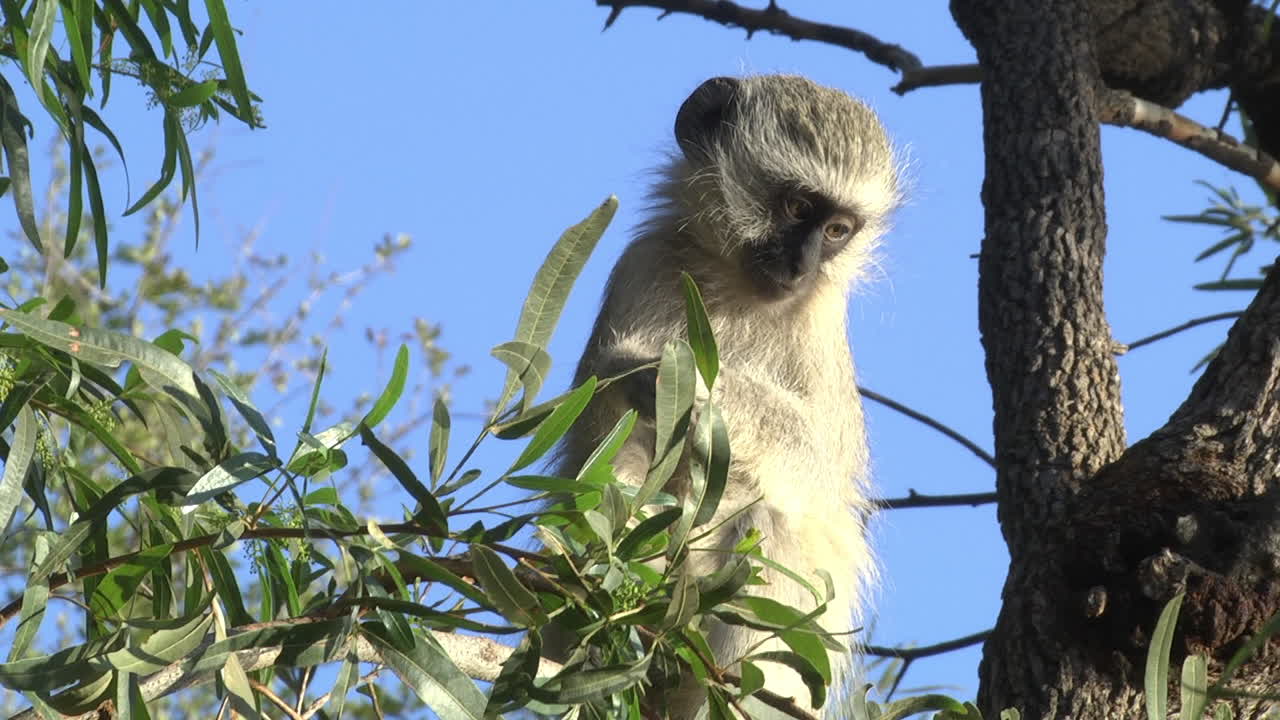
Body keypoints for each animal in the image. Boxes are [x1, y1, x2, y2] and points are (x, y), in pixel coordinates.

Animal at [551, 74, 900, 717]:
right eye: (797, 208)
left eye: (838, 231)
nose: (803, 262)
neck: (739, 287)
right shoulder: (644, 265)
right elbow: (595, 438)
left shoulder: (820, 328)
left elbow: (819, 470)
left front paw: (674, 374)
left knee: (779, 524)